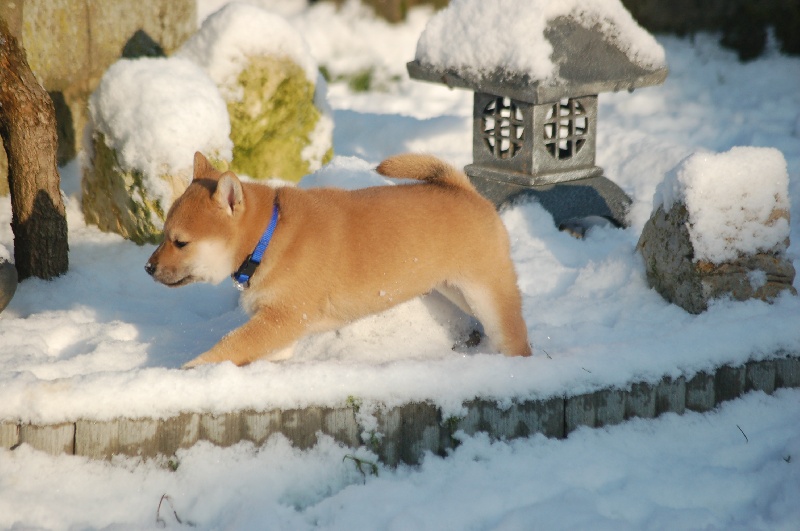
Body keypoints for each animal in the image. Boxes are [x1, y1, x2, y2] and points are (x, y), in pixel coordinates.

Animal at [146, 152, 528, 368]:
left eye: (180, 242)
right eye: (163, 235)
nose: (148, 268)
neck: (269, 238)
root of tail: (465, 190)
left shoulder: (281, 318)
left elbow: (230, 343)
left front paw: (191, 369)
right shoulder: (280, 328)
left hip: (486, 292)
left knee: (514, 336)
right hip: (454, 290)